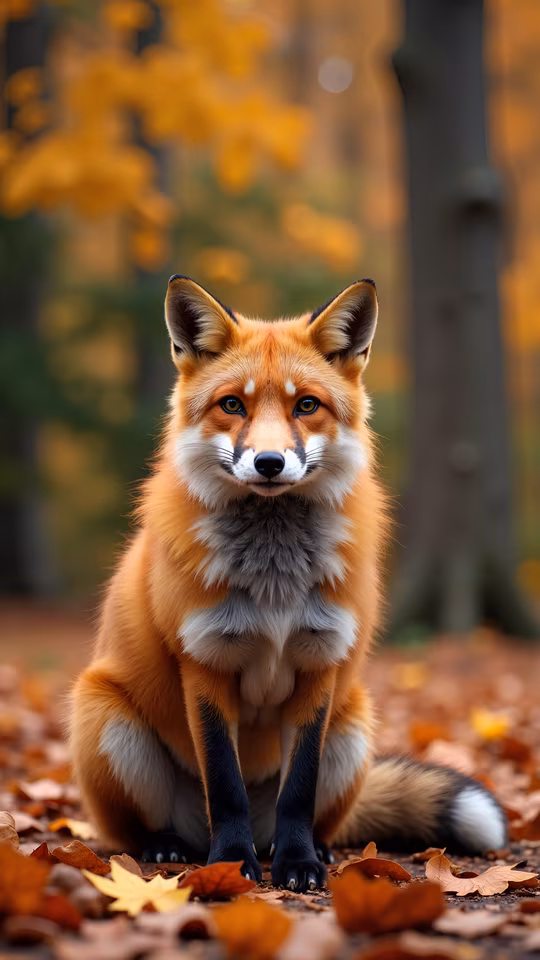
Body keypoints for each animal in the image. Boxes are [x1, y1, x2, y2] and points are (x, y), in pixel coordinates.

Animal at [70, 275, 507, 892]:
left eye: (306, 405)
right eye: (233, 404)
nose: (270, 462)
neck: (274, 583)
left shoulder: (318, 664)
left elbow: (298, 788)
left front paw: (298, 864)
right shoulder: (204, 664)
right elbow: (224, 784)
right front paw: (233, 864)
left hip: (353, 727)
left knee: (306, 816)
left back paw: (303, 848)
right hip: (108, 722)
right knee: (143, 829)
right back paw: (174, 847)